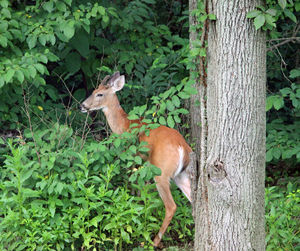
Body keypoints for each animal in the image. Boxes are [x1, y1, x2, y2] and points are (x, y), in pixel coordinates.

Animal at [79, 71, 192, 247]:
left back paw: (154, 241)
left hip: (161, 172)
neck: (124, 126)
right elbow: (141, 189)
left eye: (100, 94)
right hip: (181, 174)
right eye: (93, 90)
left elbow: (133, 185)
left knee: (171, 206)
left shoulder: (133, 157)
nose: (82, 106)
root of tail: (183, 147)